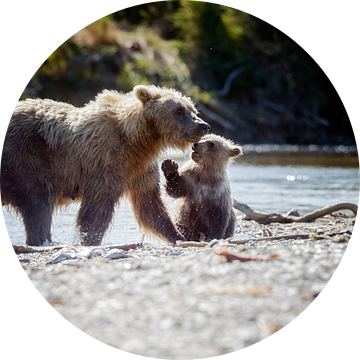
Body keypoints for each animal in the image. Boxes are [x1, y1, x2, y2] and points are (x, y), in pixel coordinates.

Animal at [0, 86, 208, 246]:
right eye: (179, 110)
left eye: (193, 109)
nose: (204, 125)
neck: (136, 141)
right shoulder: (104, 160)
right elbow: (98, 207)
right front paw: (89, 240)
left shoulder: (140, 169)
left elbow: (150, 206)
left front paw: (179, 236)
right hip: (25, 157)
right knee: (39, 201)